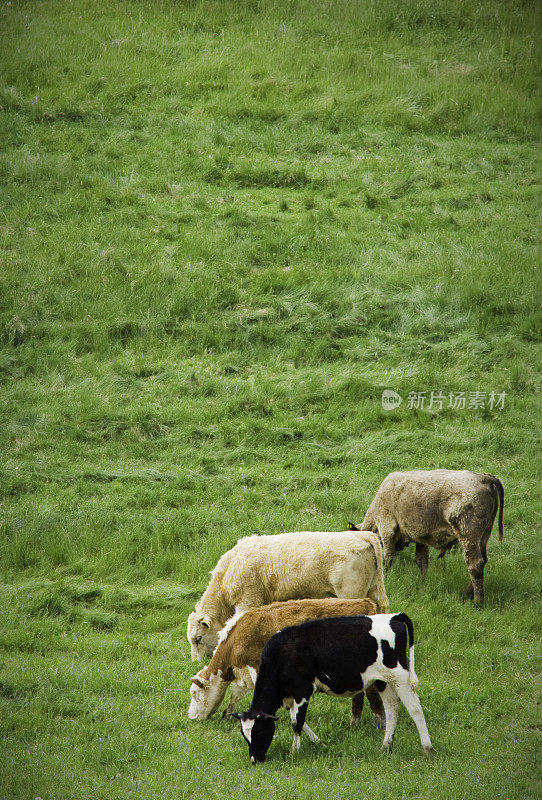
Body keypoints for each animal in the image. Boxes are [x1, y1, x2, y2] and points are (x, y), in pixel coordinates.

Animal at [188, 536, 392, 660]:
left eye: (198, 638)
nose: (196, 662)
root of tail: (363, 535)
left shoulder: (247, 601)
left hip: (352, 594)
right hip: (374, 590)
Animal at [189, 600, 384, 724]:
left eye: (194, 692)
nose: (191, 717)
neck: (237, 637)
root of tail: (366, 603)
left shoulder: (257, 668)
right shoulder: (243, 673)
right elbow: (235, 695)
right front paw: (227, 715)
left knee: (373, 692)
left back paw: (379, 722)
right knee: (360, 694)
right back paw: (354, 721)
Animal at [234, 612, 434, 764]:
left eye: (259, 732)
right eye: (244, 735)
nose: (254, 759)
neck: (282, 655)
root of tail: (394, 616)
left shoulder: (302, 691)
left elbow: (296, 722)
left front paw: (294, 752)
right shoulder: (289, 696)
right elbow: (300, 722)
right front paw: (319, 743)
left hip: (400, 676)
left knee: (415, 708)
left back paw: (427, 747)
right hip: (383, 680)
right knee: (392, 708)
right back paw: (386, 746)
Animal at [356, 466, 506, 604]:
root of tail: (484, 478)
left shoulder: (387, 530)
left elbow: (386, 559)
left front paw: (385, 580)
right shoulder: (420, 538)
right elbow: (422, 561)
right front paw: (423, 583)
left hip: (469, 537)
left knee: (475, 565)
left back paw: (477, 601)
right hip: (484, 536)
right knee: (483, 561)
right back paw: (467, 592)